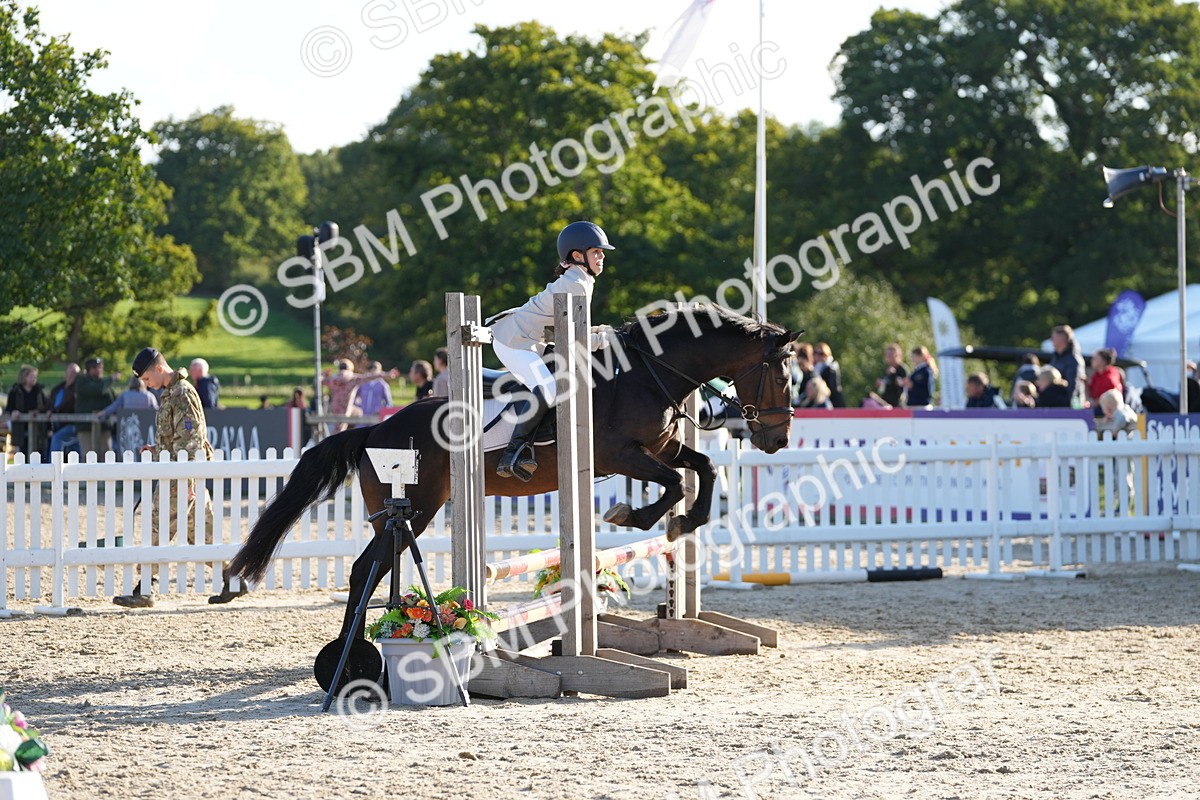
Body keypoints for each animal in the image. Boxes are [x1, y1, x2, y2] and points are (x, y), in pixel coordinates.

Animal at [228, 304, 799, 685]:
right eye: (779, 374)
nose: (778, 439)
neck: (647, 374)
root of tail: (375, 429)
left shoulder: (662, 448)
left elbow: (702, 468)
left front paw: (685, 521)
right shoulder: (620, 455)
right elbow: (676, 483)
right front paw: (633, 515)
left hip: (409, 511)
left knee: (374, 568)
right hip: (414, 508)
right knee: (364, 569)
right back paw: (347, 663)